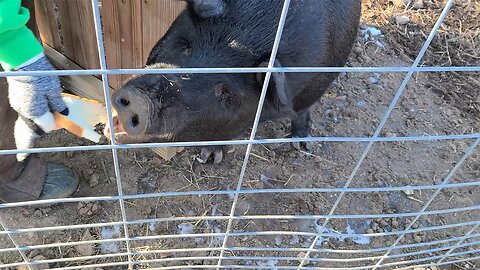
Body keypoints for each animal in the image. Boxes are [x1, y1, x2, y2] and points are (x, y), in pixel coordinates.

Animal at [111, 0, 360, 163]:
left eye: (225, 92)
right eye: (185, 46)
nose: (141, 101)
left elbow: (301, 112)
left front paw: (302, 144)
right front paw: (208, 157)